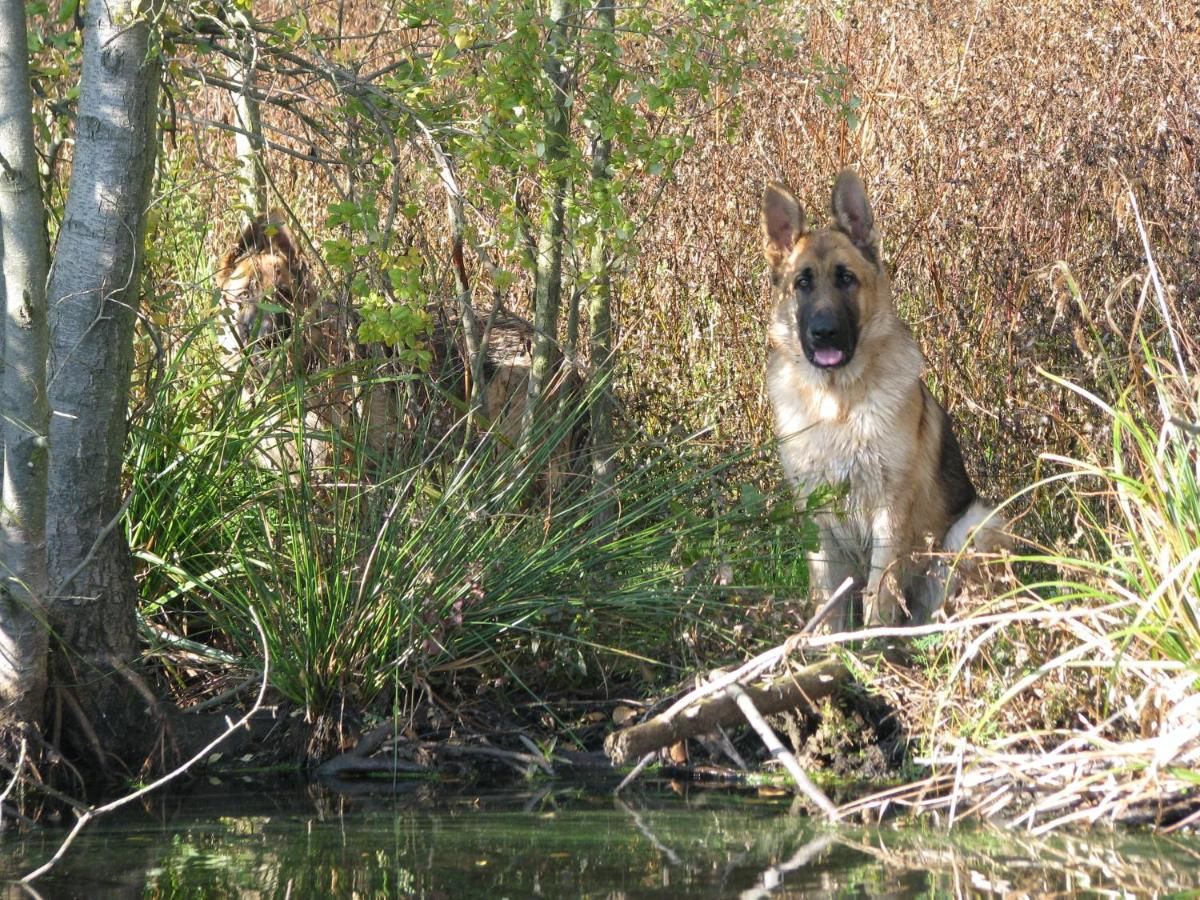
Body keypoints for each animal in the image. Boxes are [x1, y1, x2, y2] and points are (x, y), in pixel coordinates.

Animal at [758, 172, 1003, 628]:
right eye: (803, 283)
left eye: (846, 278)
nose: (824, 334)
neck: (837, 404)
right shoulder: (815, 520)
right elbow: (826, 598)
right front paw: (825, 643)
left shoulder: (890, 513)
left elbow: (879, 591)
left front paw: (869, 643)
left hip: (977, 525)